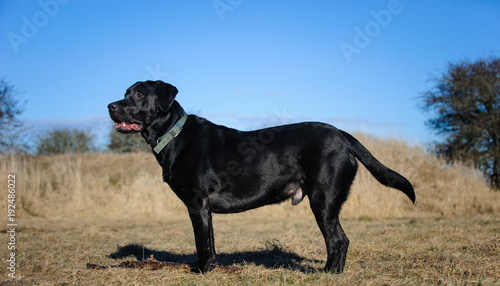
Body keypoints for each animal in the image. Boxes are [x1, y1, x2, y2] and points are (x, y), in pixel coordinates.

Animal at [108, 80, 414, 272]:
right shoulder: (206, 211)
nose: (110, 106)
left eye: (138, 94)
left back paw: (329, 273)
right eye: (125, 92)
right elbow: (210, 243)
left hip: (323, 199)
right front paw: (212, 268)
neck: (174, 135)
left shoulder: (197, 205)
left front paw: (201, 271)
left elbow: (201, 244)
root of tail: (343, 135)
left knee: (338, 241)